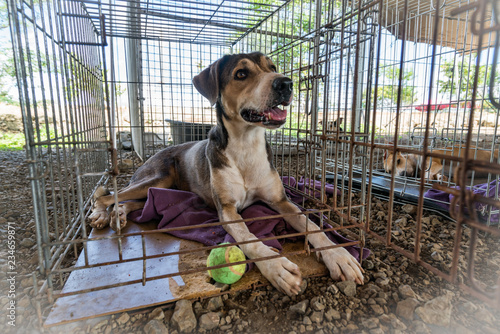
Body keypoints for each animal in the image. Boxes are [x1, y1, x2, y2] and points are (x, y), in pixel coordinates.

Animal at [89, 51, 364, 294]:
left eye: (272, 67)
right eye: (241, 74)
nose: (286, 83)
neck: (246, 144)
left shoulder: (281, 200)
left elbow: (312, 225)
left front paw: (339, 255)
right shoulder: (228, 210)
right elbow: (248, 237)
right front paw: (276, 267)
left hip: (162, 187)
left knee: (135, 202)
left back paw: (119, 215)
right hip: (159, 176)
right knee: (106, 195)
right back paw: (101, 214)